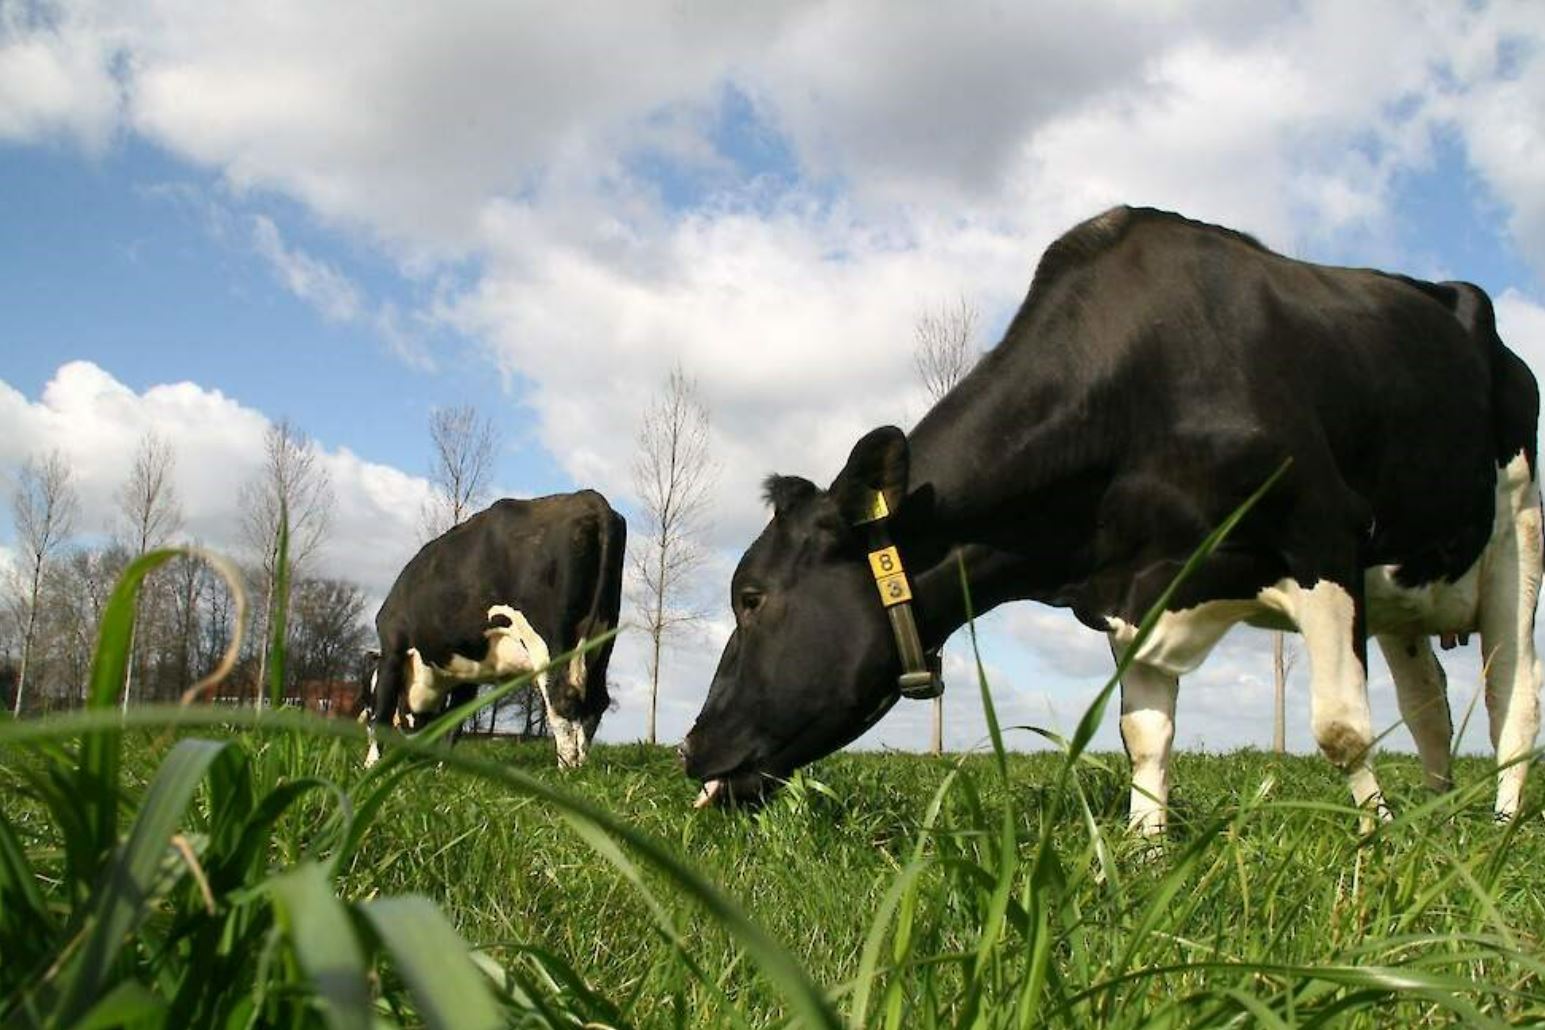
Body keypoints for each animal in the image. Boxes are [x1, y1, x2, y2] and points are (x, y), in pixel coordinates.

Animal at [364, 491, 624, 765]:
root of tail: (589, 497)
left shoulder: (392, 647)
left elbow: (383, 713)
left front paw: (371, 764)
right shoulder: (468, 674)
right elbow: (453, 721)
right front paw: (443, 766)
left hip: (549, 643)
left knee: (561, 696)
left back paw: (568, 766)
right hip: (602, 639)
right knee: (596, 701)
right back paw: (582, 764)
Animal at [689, 206, 1545, 827]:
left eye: (751, 598)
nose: (691, 750)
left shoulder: (1323, 537)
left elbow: (1341, 728)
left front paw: (1374, 847)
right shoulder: (1133, 590)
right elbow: (1143, 734)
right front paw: (1143, 854)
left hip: (1516, 528)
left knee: (1512, 698)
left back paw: (1497, 830)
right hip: (1405, 588)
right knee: (1429, 705)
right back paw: (1439, 822)